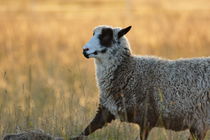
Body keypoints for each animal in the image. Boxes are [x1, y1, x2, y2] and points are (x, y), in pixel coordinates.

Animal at [71, 25, 210, 140]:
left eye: (105, 37)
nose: (85, 50)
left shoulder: (146, 119)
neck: (128, 70)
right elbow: (86, 130)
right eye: (93, 34)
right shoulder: (106, 110)